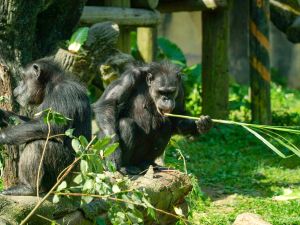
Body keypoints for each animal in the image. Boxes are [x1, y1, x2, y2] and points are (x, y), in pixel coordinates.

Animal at [0, 58, 91, 195]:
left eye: (23, 77)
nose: (17, 87)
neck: (49, 86)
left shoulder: (63, 93)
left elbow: (50, 126)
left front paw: (1, 136)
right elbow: (31, 121)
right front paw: (2, 114)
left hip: (63, 178)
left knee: (37, 144)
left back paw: (27, 187)